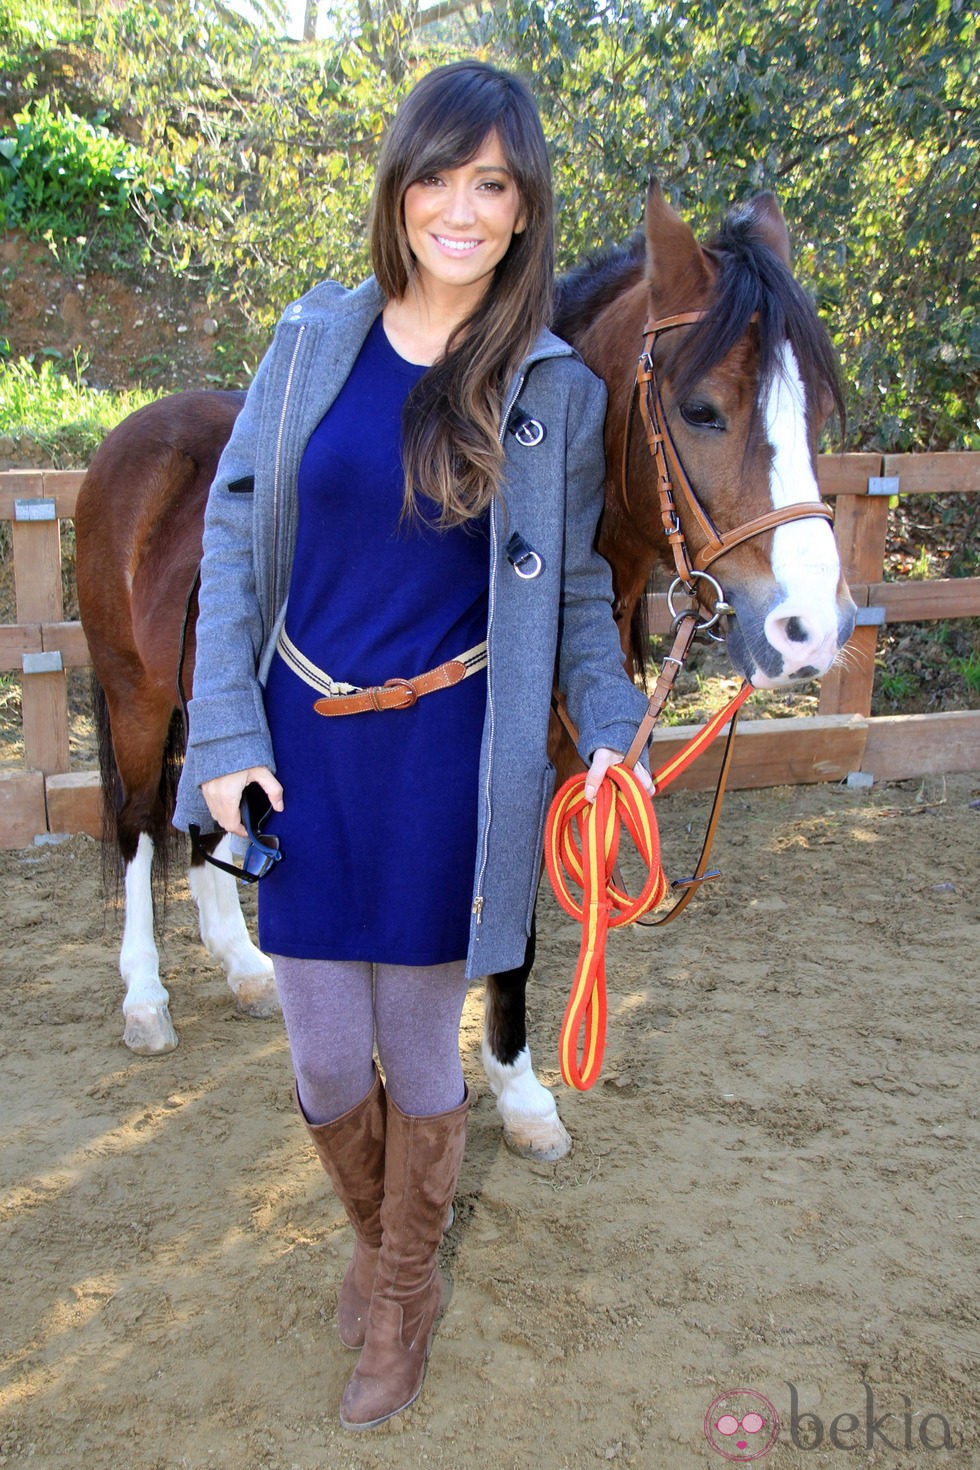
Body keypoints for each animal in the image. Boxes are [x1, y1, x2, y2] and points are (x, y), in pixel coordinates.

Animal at [76, 177, 852, 1152]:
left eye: (815, 414)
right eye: (702, 409)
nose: (812, 631)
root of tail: (135, 435)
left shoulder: (544, 773)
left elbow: (513, 938)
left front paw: (519, 1093)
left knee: (209, 818)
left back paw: (244, 966)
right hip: (136, 700)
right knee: (141, 824)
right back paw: (145, 997)